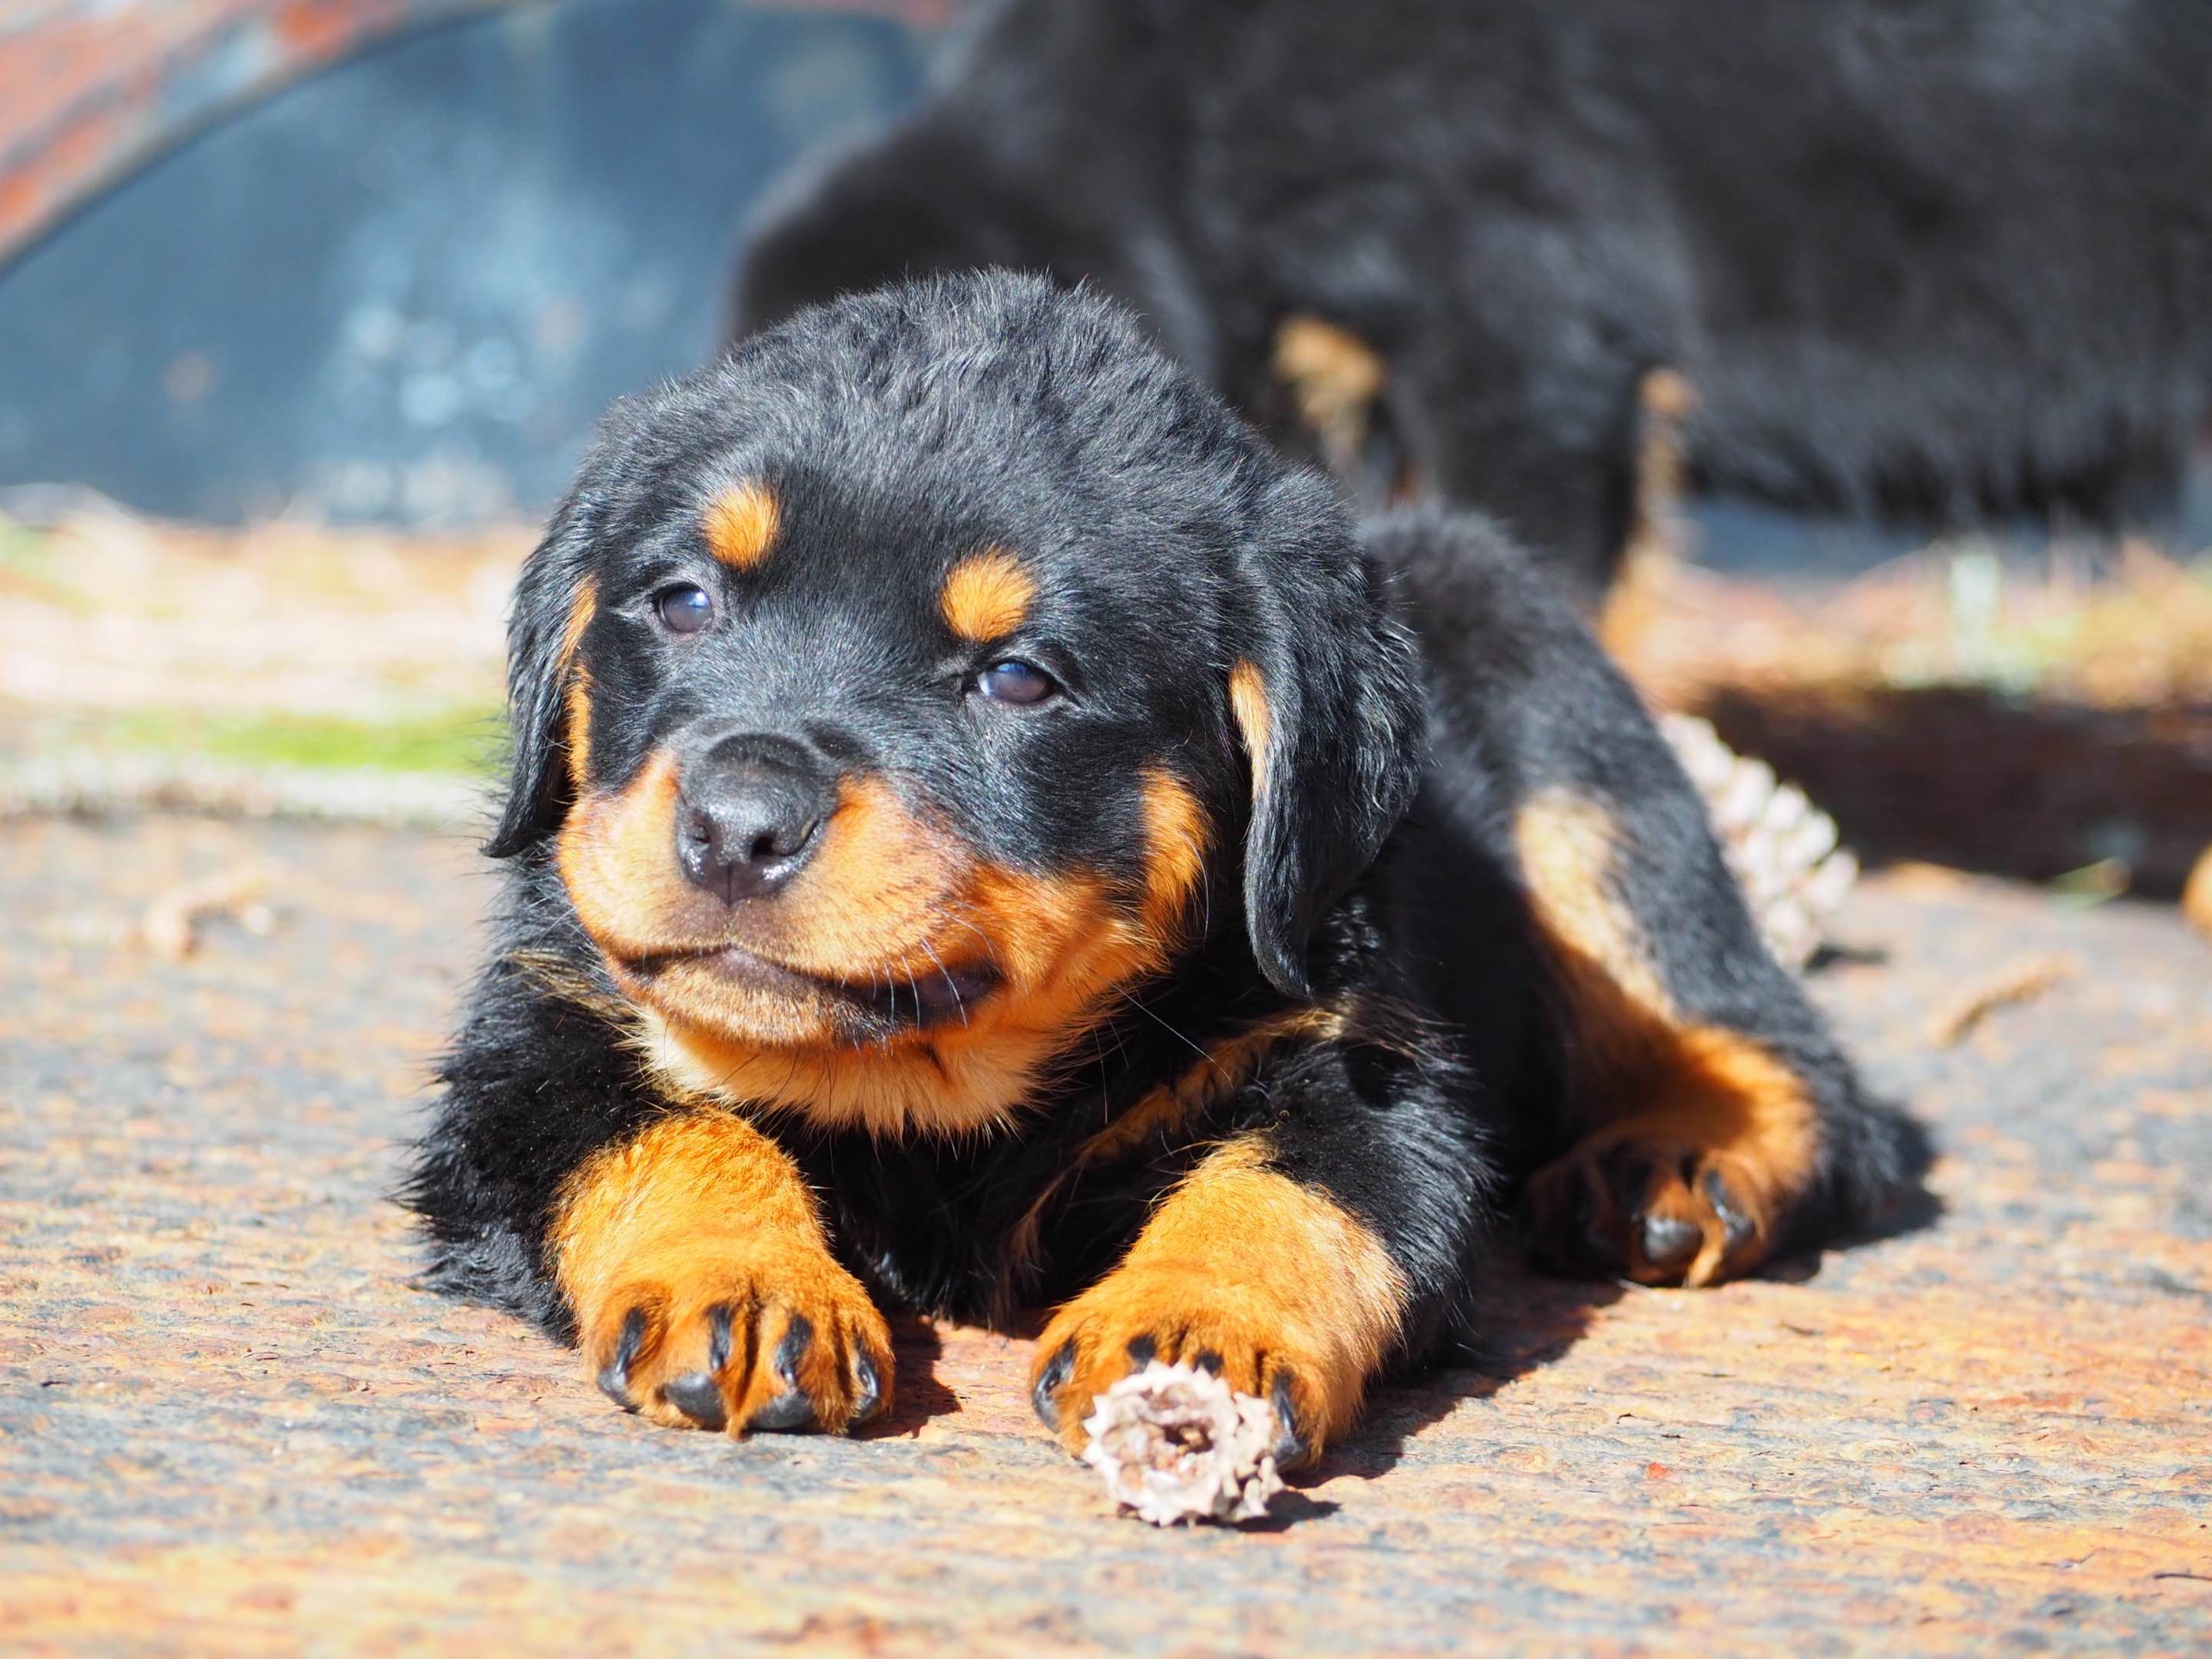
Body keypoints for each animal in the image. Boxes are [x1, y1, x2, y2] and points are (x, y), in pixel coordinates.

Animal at [406, 276, 1929, 1469]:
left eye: (1018, 679)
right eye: (682, 602)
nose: (736, 823)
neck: (936, 1093)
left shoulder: (1369, 1061)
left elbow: (1297, 1194)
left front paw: (1193, 1327)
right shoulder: (535, 1029)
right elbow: (656, 1127)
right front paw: (744, 1281)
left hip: (1573, 758)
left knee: (1773, 1042)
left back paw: (1680, 1158)